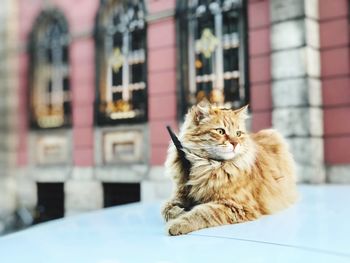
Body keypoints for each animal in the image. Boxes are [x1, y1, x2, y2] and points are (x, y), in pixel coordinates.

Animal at [161, 102, 298, 236]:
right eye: (220, 131)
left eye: (238, 134)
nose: (235, 143)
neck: (206, 166)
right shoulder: (179, 194)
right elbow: (166, 209)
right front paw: (180, 212)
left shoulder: (236, 205)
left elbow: (201, 213)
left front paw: (177, 224)